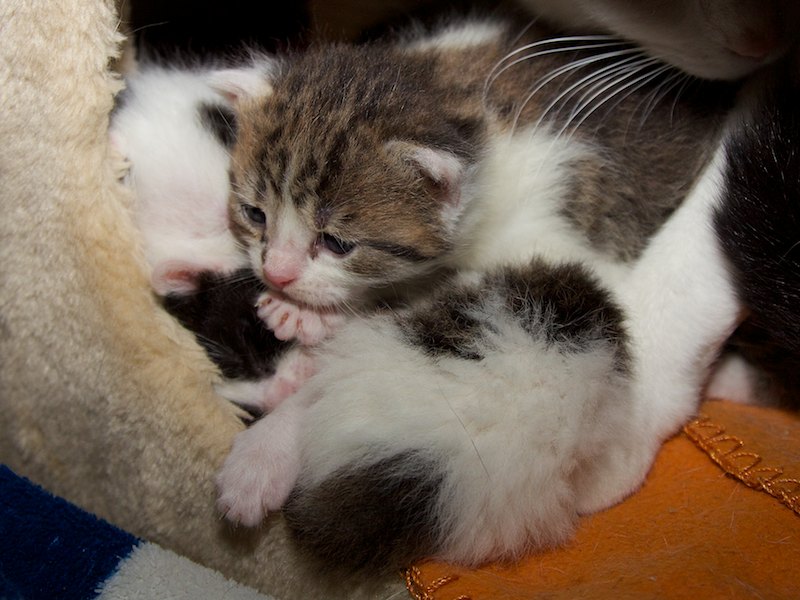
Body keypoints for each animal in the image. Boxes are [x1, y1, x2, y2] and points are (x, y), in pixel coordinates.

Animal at [211, 12, 770, 571]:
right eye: (254, 213)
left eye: (336, 242)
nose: (277, 273)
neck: (477, 114)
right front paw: (302, 323)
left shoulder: (568, 254)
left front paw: (264, 451)